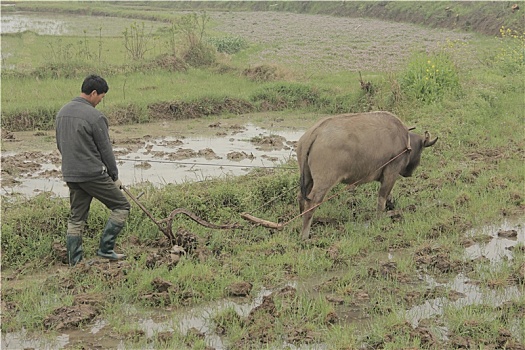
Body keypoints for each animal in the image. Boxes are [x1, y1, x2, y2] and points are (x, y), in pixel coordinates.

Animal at [296, 110, 436, 239]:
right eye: (421, 150)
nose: (410, 172)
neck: (404, 140)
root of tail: (315, 133)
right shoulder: (392, 170)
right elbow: (382, 197)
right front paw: (380, 219)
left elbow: (388, 195)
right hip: (324, 181)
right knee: (312, 202)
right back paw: (305, 235)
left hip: (307, 178)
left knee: (301, 197)